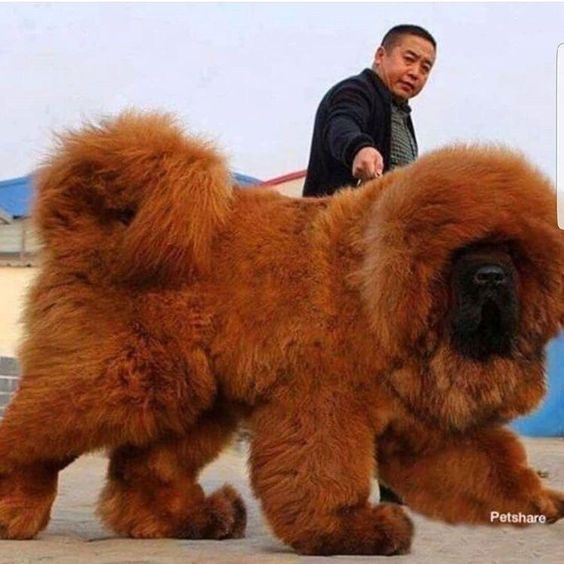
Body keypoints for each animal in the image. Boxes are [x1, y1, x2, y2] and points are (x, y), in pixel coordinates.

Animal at [1, 113, 564, 556]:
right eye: (464, 252)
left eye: (513, 253)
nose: (490, 276)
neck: (375, 285)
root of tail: (88, 231)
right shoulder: (323, 402)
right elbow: (323, 470)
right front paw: (347, 530)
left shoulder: (424, 420)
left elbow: (491, 464)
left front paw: (539, 501)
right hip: (122, 379)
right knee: (32, 435)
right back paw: (16, 504)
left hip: (192, 396)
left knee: (144, 469)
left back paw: (192, 519)